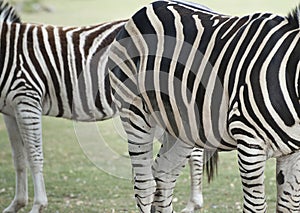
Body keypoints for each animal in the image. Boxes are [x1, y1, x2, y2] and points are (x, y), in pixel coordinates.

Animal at [0, 0, 209, 212]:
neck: (7, 49)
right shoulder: (10, 110)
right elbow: (18, 158)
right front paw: (16, 204)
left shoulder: (27, 98)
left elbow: (34, 156)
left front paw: (37, 205)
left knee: (195, 153)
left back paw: (193, 204)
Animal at [109, 0, 300, 211]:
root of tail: (149, 6)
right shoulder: (250, 144)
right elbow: (255, 206)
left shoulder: (295, 154)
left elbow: (289, 206)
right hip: (134, 111)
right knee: (145, 185)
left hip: (182, 126)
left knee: (163, 177)